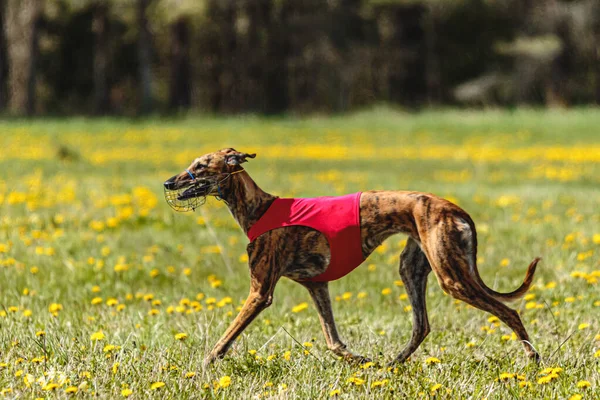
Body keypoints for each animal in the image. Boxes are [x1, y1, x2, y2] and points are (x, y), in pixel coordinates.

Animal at [163, 148, 540, 366]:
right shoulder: (317, 286)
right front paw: (357, 359)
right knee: (422, 325)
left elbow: (226, 337)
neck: (260, 208)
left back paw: (533, 359)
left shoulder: (260, 292)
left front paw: (203, 367)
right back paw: (392, 364)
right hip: (412, 268)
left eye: (200, 166)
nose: (168, 183)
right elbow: (333, 341)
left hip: (452, 276)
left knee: (509, 311)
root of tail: (455, 209)